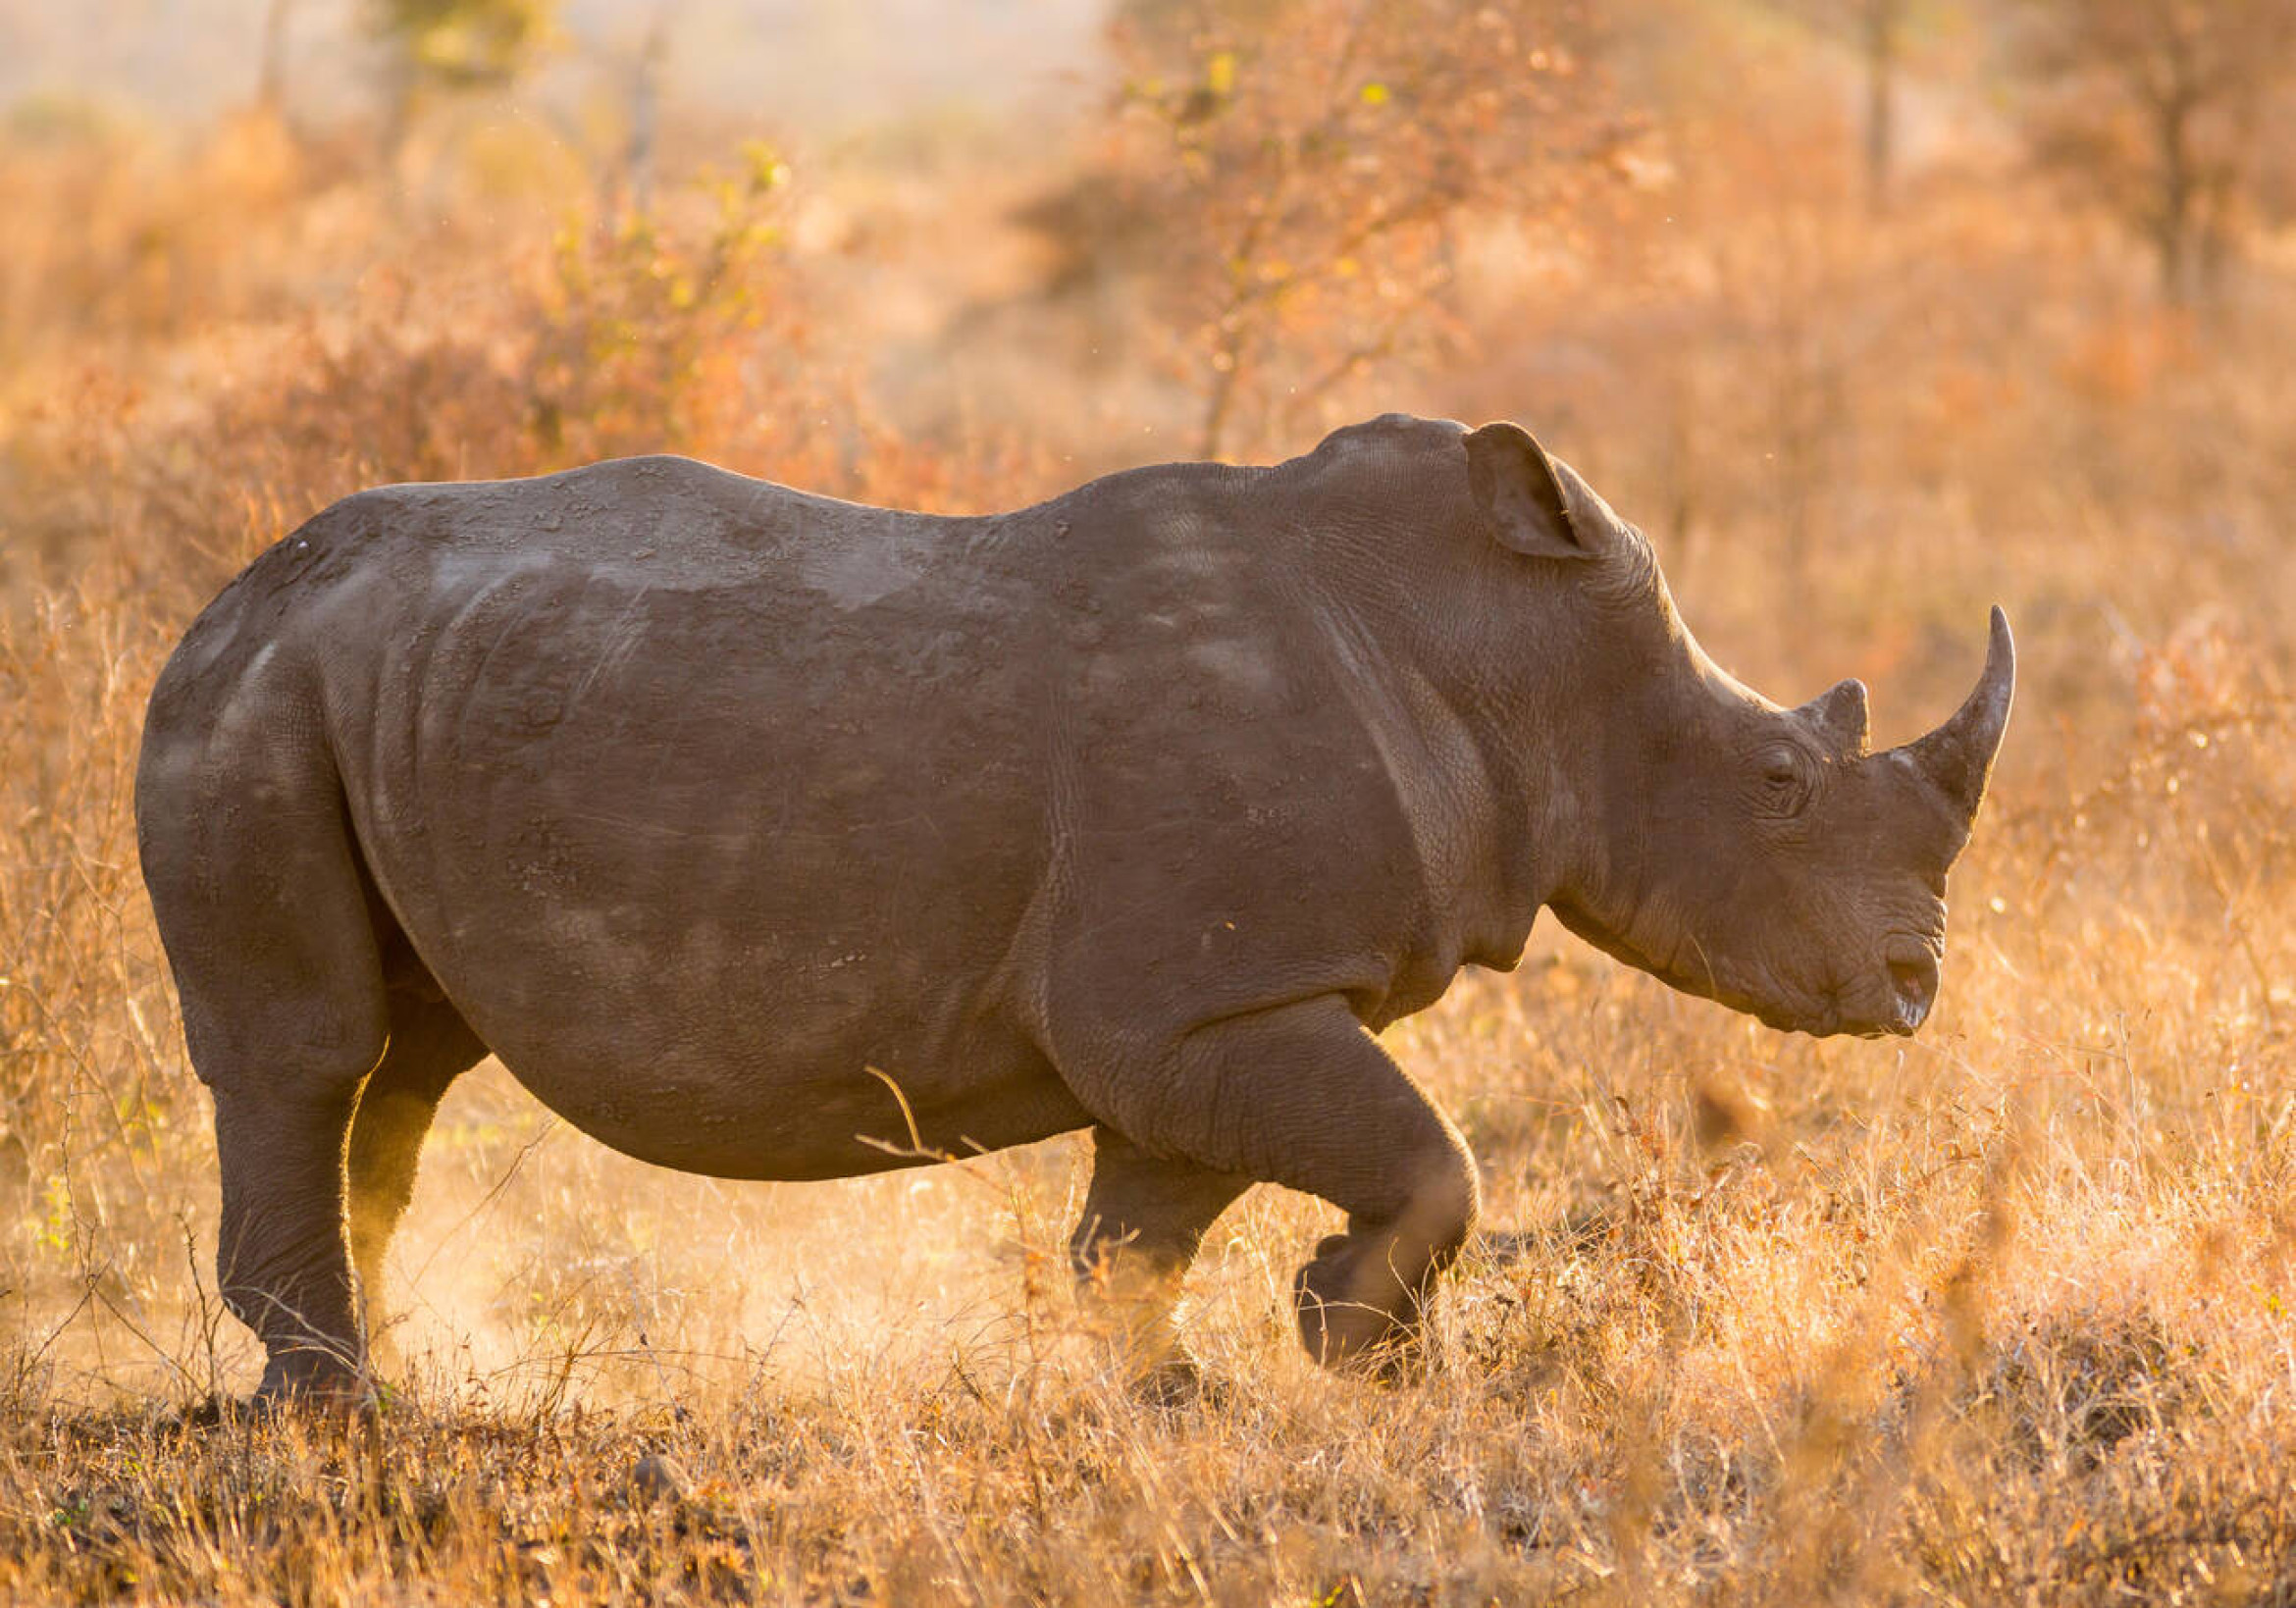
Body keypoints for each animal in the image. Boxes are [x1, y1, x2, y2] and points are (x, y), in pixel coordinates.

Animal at [135, 414, 2013, 1403]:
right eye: (1777, 781)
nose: (1914, 983)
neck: (1508, 652)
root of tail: (220, 596)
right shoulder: (1196, 999)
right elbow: (1431, 1164)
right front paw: (1350, 1350)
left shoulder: (1204, 1006)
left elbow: (1141, 1226)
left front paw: (1159, 1390)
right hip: (247, 699)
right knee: (310, 1054)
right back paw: (345, 1408)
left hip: (363, 688)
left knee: (403, 1070)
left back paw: (389, 1371)